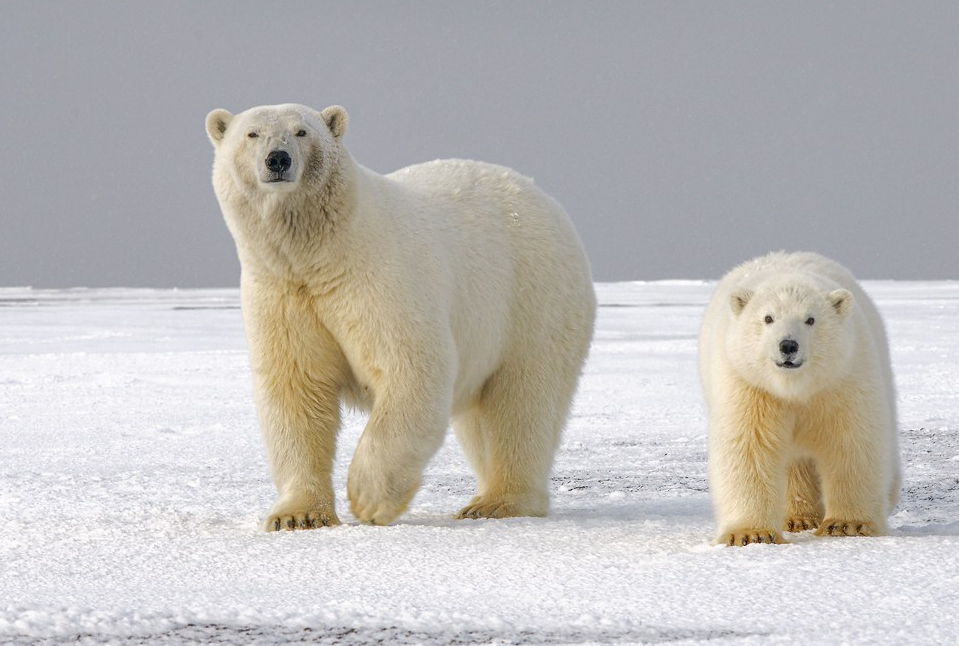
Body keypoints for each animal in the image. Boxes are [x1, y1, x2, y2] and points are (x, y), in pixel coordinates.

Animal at [205, 105, 596, 532]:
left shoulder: (378, 278)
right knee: (481, 419)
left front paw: (368, 498)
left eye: (302, 131)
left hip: (532, 299)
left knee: (522, 402)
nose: (278, 159)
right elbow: (297, 390)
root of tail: (543, 197)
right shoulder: (281, 293)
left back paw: (498, 502)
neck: (321, 254)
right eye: (252, 134)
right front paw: (297, 515)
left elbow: (410, 367)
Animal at [696, 253, 900, 548]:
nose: (788, 345)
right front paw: (750, 533)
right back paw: (798, 518)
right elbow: (748, 447)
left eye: (810, 319)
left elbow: (851, 442)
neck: (795, 388)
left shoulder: (843, 379)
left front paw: (847, 524)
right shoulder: (749, 386)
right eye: (768, 318)